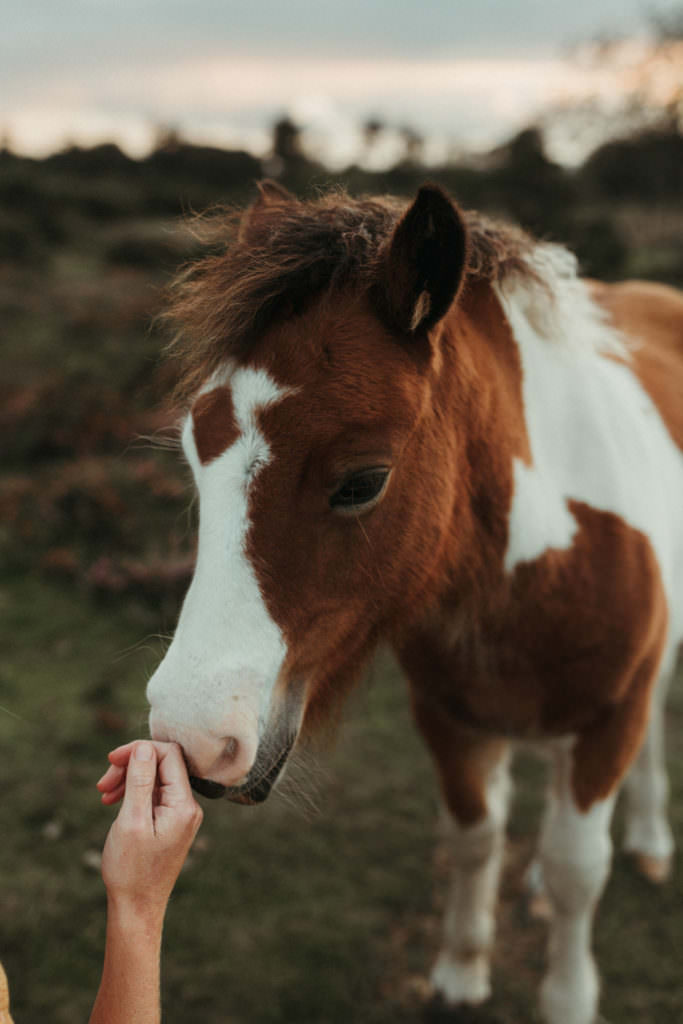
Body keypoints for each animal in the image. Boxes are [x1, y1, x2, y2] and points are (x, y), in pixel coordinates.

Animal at [146, 180, 683, 1024]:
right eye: (197, 456)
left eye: (363, 481)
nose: (192, 736)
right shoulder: (449, 716)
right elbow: (473, 837)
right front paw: (460, 972)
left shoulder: (610, 718)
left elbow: (578, 870)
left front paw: (567, 996)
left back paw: (652, 840)